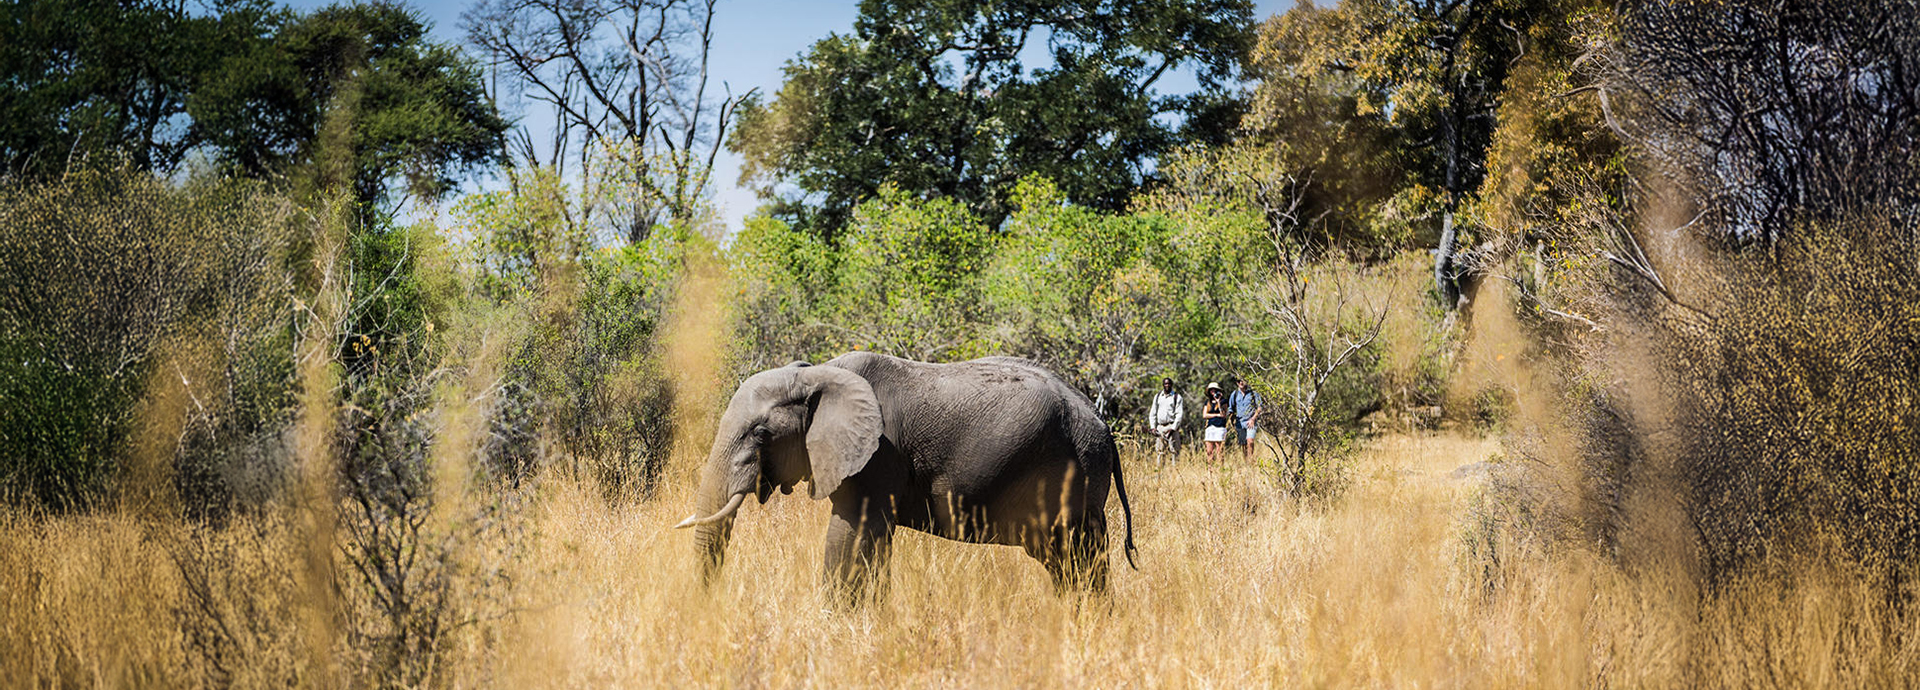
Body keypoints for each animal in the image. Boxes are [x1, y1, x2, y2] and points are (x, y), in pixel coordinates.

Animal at [674, 351, 1137, 601]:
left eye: (761, 433)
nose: (707, 607)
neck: (819, 373)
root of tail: (1101, 422)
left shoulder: (878, 456)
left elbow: (850, 535)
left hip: (1075, 472)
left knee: (1079, 556)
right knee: (1064, 560)